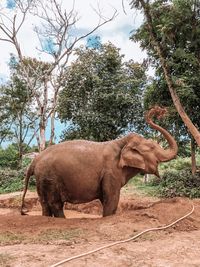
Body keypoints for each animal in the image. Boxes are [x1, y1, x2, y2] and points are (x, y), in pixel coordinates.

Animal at [21, 107, 177, 218]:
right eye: (152, 147)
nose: (160, 111)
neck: (122, 142)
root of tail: (35, 160)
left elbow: (107, 199)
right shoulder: (111, 171)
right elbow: (111, 199)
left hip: (42, 179)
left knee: (45, 203)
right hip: (51, 178)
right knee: (55, 203)